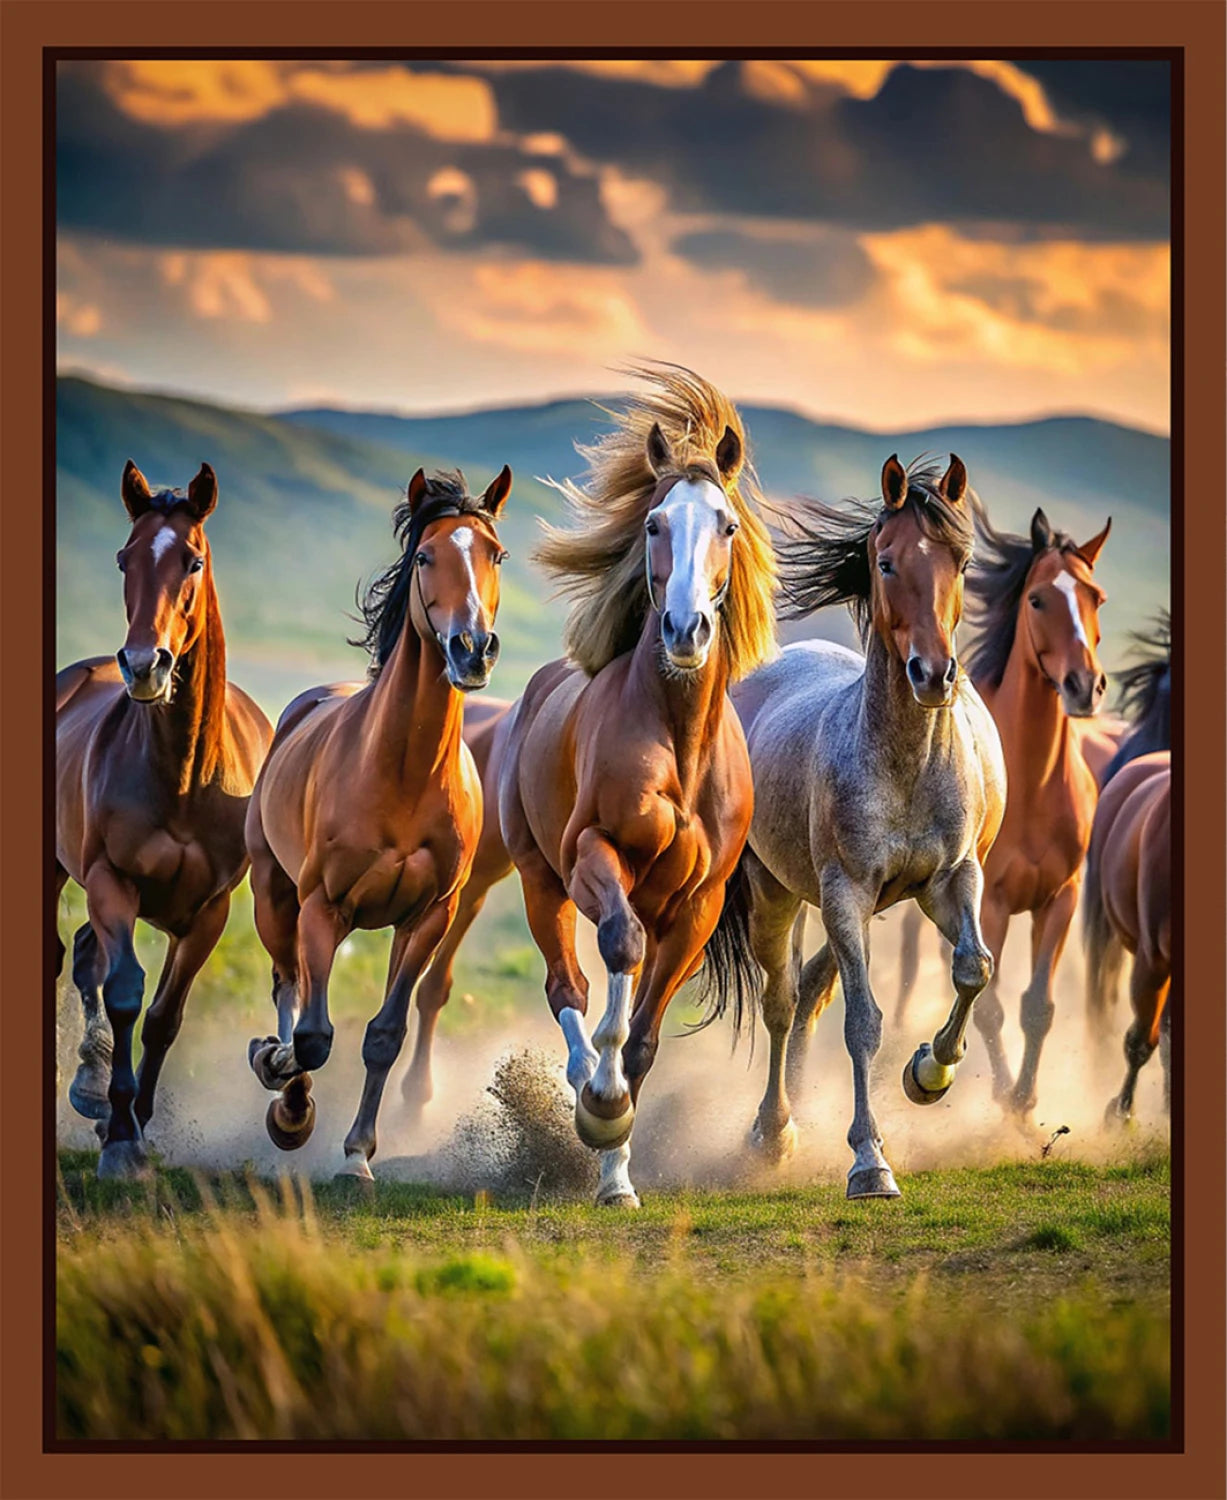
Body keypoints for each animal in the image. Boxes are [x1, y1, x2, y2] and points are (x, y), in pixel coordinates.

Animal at [55, 461, 273, 1179]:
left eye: (192, 561)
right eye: (124, 558)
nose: (143, 665)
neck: (183, 775)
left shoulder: (209, 911)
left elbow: (163, 1018)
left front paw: (133, 1122)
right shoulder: (110, 882)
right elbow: (124, 993)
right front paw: (121, 1141)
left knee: (85, 956)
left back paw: (93, 1090)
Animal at [244, 466, 512, 1179]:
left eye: (495, 554)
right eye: (425, 556)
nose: (471, 649)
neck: (402, 775)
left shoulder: (428, 918)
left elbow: (384, 1035)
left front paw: (357, 1154)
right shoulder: (322, 907)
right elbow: (312, 1036)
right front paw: (289, 1106)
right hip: (273, 896)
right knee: (288, 987)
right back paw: (275, 1075)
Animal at [488, 364, 776, 1207]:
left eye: (726, 525)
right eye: (653, 524)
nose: (684, 630)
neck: (676, 742)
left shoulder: (699, 904)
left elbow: (645, 1037)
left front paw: (617, 1171)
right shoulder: (595, 851)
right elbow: (615, 955)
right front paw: (602, 1109)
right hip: (540, 879)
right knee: (569, 987)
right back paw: (586, 1084)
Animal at [731, 455, 1005, 1199]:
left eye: (962, 561)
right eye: (885, 563)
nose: (933, 674)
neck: (902, 763)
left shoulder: (951, 880)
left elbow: (973, 968)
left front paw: (929, 1071)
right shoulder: (846, 893)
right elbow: (862, 1023)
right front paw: (868, 1160)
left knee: (806, 993)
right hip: (778, 894)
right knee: (780, 1001)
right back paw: (772, 1132)